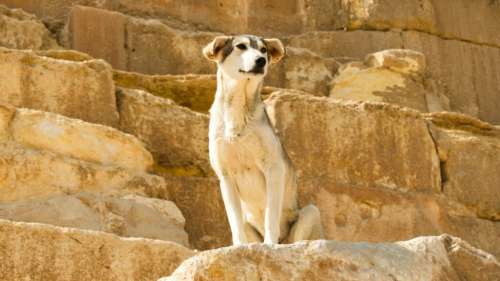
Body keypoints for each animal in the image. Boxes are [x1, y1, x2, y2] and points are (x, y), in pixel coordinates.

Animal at [203, 34, 324, 243]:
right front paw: (239, 247)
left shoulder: (274, 169)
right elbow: (235, 225)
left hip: (311, 212)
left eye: (263, 50)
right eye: (240, 46)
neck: (238, 110)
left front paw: (269, 245)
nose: (261, 61)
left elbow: (271, 217)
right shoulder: (225, 177)